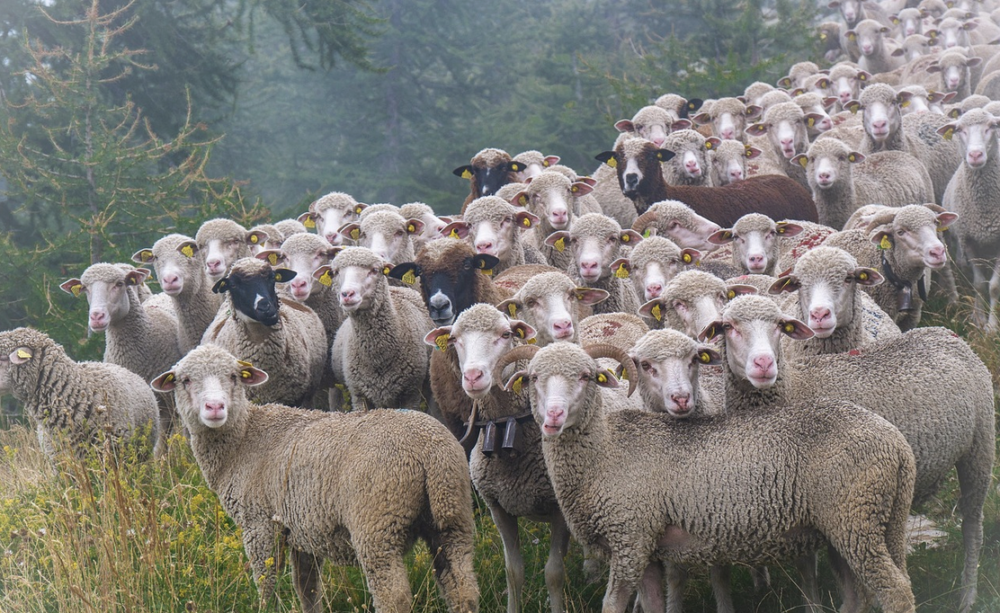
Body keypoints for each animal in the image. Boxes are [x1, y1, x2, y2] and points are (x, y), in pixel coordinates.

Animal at [150, 344, 479, 613]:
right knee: (463, 587)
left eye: (233, 376)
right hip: (452, 516)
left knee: (393, 597)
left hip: (378, 523)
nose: (215, 407)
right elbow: (306, 588)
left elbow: (266, 584)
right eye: (185, 380)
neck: (243, 439)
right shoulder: (300, 530)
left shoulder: (259, 525)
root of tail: (429, 449)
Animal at [318, 247, 435, 412]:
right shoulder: (359, 395)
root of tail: (396, 288)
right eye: (334, 272)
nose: (347, 294)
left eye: (374, 270)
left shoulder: (411, 394)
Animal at [503, 337, 916, 613]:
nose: (554, 417)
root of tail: (897, 445)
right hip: (867, 523)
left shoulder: (629, 538)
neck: (605, 452)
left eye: (586, 376)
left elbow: (612, 606)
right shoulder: (646, 547)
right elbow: (652, 605)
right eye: (534, 377)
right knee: (864, 594)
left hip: (854, 517)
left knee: (895, 591)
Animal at [940, 108, 1000, 328]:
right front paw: (979, 318)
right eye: (959, 130)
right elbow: (979, 284)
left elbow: (994, 287)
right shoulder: (970, 241)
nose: (975, 155)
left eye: (992, 126)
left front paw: (992, 326)